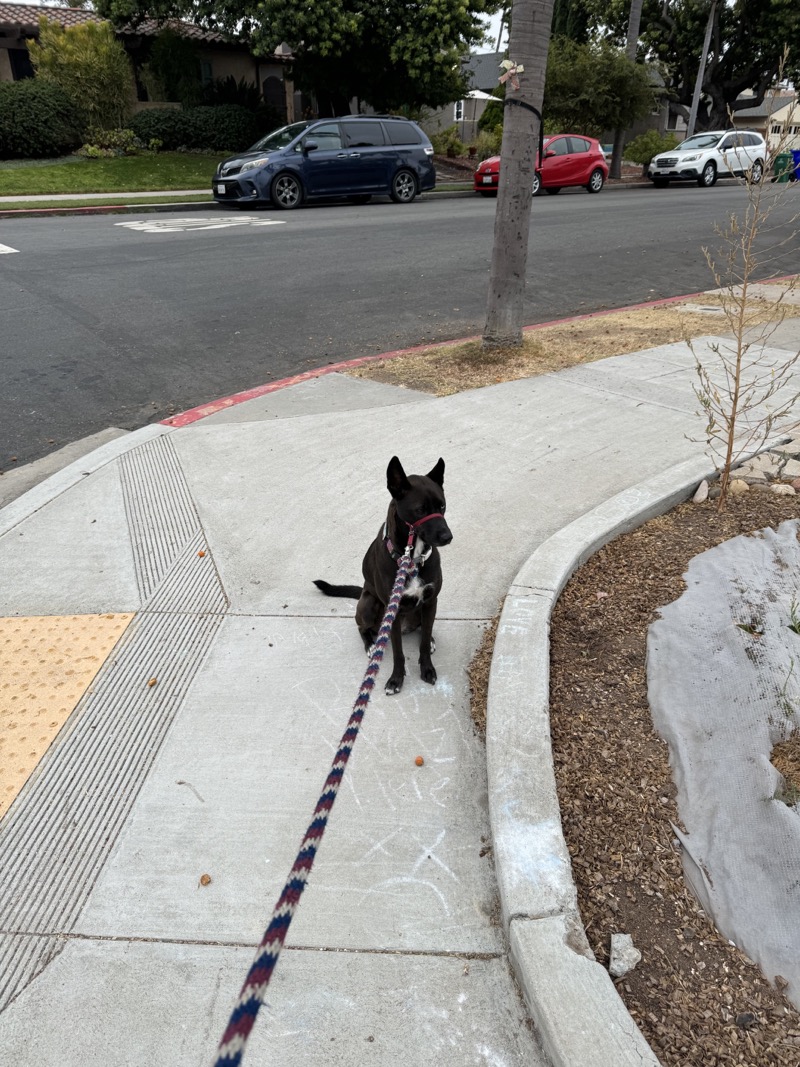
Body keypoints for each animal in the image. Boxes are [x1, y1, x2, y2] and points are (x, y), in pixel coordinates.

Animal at [313, 454, 452, 695]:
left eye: (442, 506)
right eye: (420, 510)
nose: (448, 537)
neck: (411, 557)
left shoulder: (431, 601)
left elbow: (424, 643)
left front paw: (427, 669)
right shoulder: (391, 609)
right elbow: (398, 652)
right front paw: (396, 679)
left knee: (424, 629)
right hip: (368, 604)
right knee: (362, 626)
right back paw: (370, 645)